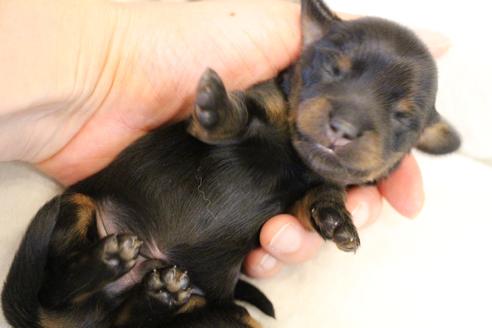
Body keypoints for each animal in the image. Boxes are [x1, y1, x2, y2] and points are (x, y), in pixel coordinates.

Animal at [0, 1, 462, 326]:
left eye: (403, 116)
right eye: (332, 68)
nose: (343, 128)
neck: (295, 158)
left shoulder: (298, 198)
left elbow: (320, 194)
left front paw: (337, 221)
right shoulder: (252, 104)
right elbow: (236, 116)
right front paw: (215, 106)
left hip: (200, 305)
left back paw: (158, 293)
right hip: (78, 206)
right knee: (57, 284)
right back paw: (110, 259)